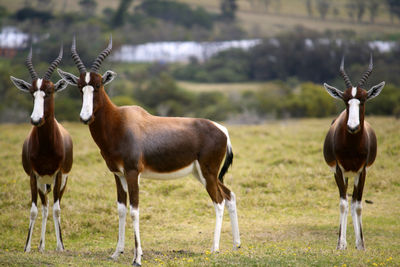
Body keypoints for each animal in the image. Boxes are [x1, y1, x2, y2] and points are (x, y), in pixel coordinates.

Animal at [9, 46, 72, 253]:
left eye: (49, 91)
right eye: (31, 92)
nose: (36, 119)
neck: (46, 147)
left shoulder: (59, 174)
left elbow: (57, 209)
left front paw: (61, 247)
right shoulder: (33, 175)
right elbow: (34, 210)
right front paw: (27, 247)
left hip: (59, 181)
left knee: (52, 205)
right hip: (42, 182)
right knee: (44, 207)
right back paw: (41, 246)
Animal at [57, 37, 239, 266]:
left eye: (98, 85)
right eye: (80, 87)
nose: (85, 117)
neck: (120, 122)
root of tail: (222, 129)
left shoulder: (133, 172)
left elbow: (135, 210)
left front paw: (137, 258)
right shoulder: (118, 174)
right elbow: (121, 209)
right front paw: (116, 252)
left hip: (208, 173)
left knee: (219, 201)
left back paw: (214, 249)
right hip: (203, 174)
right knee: (229, 195)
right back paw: (236, 245)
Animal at [322, 56, 384, 251]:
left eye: (363, 100)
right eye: (345, 100)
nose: (353, 126)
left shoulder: (362, 171)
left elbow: (357, 204)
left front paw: (361, 244)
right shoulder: (338, 169)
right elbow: (343, 203)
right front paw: (341, 244)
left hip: (354, 174)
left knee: (354, 199)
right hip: (345, 174)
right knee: (346, 199)